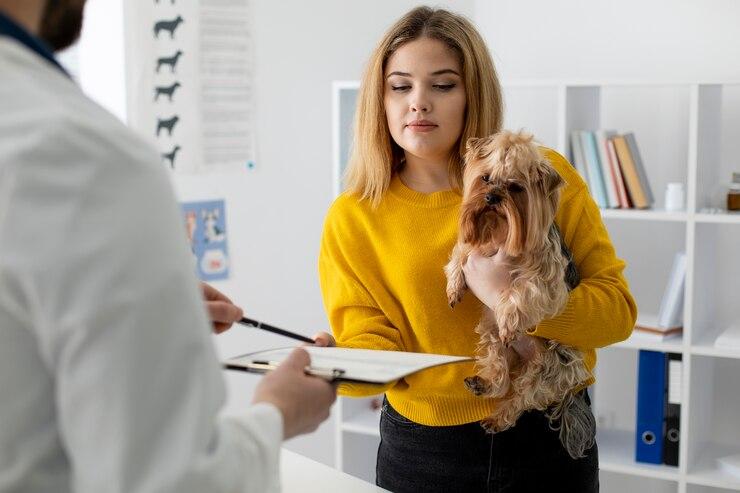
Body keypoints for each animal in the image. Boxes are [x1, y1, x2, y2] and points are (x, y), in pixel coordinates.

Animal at [446, 130, 596, 458]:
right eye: (486, 178)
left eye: (515, 187)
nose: (492, 197)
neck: (499, 232)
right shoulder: (476, 244)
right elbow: (461, 252)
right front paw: (454, 285)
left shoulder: (548, 280)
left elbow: (521, 290)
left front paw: (510, 318)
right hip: (489, 333)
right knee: (500, 372)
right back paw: (483, 384)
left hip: (552, 366)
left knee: (522, 397)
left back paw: (497, 418)